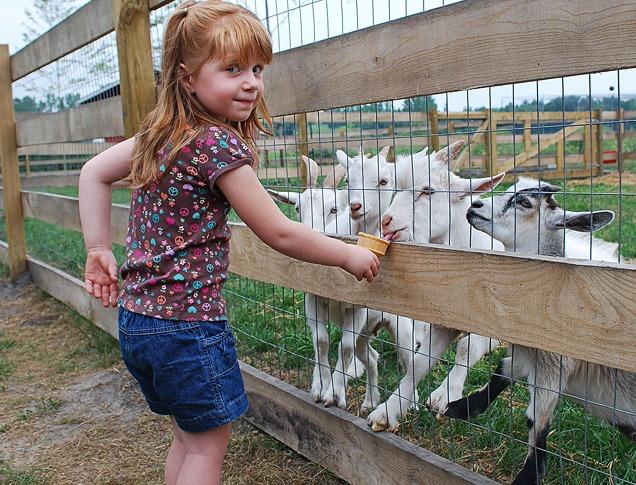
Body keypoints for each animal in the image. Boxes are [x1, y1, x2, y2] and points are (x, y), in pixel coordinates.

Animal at [368, 141, 506, 432]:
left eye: (427, 190)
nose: (386, 221)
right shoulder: (443, 321)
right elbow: (418, 364)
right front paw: (387, 411)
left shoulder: (490, 319)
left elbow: (467, 348)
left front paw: (445, 397)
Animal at [444, 178, 632, 484]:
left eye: (524, 203)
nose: (475, 205)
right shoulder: (529, 357)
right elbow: (501, 371)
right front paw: (462, 407)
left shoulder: (554, 364)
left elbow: (537, 419)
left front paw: (529, 475)